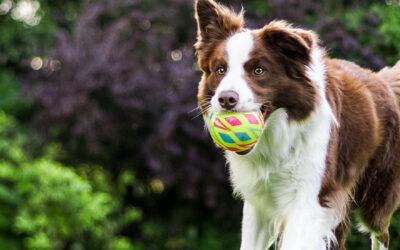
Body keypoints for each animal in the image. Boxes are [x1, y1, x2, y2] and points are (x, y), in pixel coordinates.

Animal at [194, 0, 400, 250]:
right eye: (220, 70)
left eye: (258, 70)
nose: (225, 99)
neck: (277, 137)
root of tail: (382, 81)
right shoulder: (258, 200)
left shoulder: (310, 199)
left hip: (376, 195)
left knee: (381, 233)